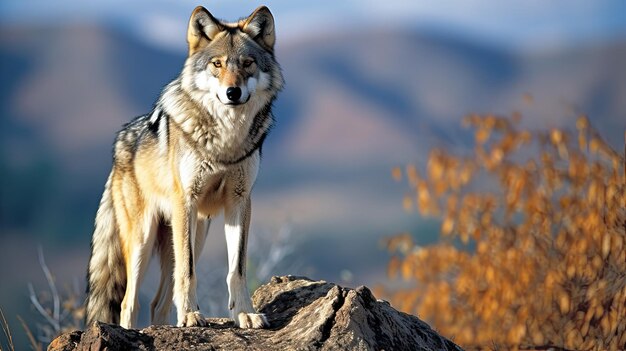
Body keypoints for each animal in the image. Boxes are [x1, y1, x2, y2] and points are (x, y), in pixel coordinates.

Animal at [84, 5, 284, 330]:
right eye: (217, 64)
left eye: (247, 63)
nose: (233, 92)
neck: (225, 142)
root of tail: (119, 143)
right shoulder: (185, 201)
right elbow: (188, 272)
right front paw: (191, 315)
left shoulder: (240, 202)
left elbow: (237, 269)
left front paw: (244, 314)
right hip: (144, 239)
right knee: (129, 302)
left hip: (195, 232)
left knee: (158, 303)